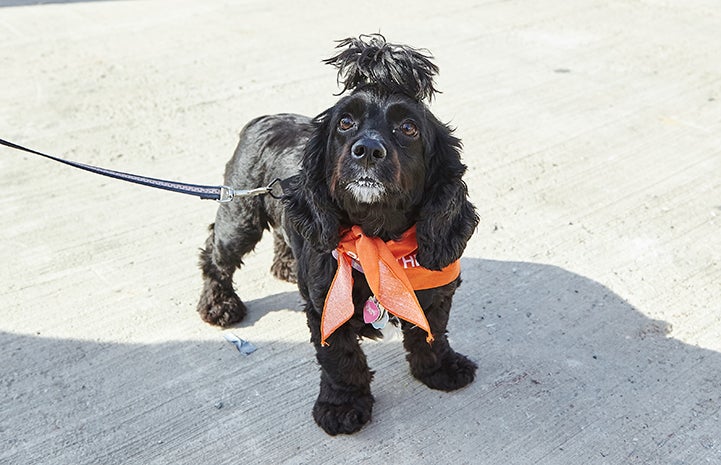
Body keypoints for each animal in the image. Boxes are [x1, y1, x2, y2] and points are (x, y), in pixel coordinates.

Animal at [197, 34, 478, 434]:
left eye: (408, 129)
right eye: (345, 122)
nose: (368, 150)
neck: (378, 243)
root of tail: (263, 117)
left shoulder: (437, 291)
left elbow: (433, 332)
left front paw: (440, 368)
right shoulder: (325, 305)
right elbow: (342, 358)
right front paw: (342, 405)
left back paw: (286, 266)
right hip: (240, 216)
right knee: (215, 253)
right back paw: (219, 305)